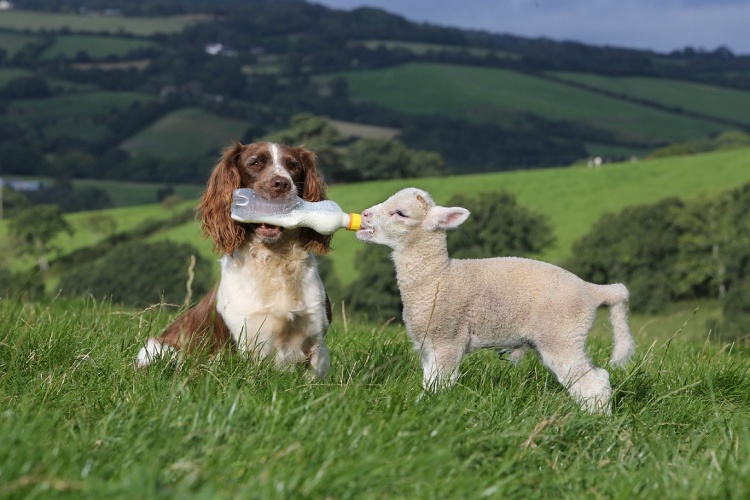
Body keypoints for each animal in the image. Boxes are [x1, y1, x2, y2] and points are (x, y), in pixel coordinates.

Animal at [136, 139, 334, 376]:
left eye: (293, 166)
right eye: (255, 163)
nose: (281, 184)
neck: (275, 259)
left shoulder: (316, 339)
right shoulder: (247, 342)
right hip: (159, 349)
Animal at [356, 188, 636, 414]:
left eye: (401, 213)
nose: (365, 215)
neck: (438, 276)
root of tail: (592, 290)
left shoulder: (447, 338)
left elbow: (440, 383)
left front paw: (429, 409)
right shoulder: (428, 343)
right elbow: (429, 381)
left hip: (562, 335)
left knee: (593, 382)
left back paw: (597, 421)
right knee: (595, 378)